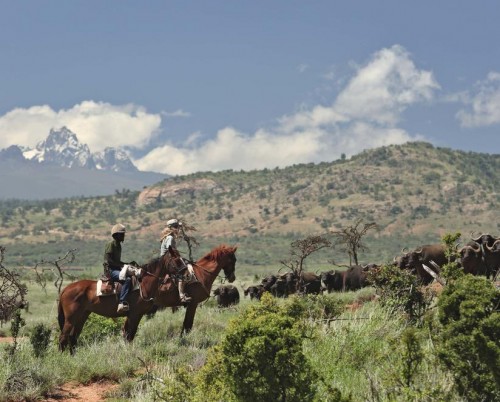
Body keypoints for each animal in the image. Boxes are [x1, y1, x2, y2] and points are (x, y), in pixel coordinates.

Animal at [57, 243, 237, 354]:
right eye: (233, 259)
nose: (233, 277)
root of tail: (66, 289)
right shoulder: (190, 305)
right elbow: (187, 326)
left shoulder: (135, 315)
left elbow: (129, 334)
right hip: (71, 318)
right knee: (64, 337)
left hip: (82, 316)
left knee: (73, 337)